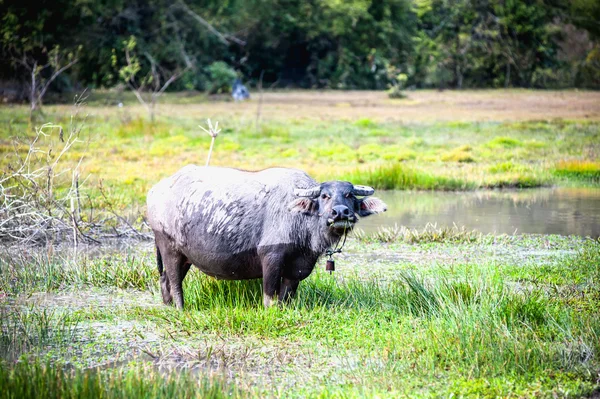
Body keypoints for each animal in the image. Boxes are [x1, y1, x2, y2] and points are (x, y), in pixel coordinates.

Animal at [148, 166, 386, 310]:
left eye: (349, 195)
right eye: (325, 196)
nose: (340, 213)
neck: (301, 222)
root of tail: (156, 190)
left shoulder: (298, 268)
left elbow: (287, 295)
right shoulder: (271, 257)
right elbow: (269, 294)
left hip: (185, 256)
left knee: (165, 279)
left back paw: (168, 305)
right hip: (169, 247)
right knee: (175, 281)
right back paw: (180, 307)